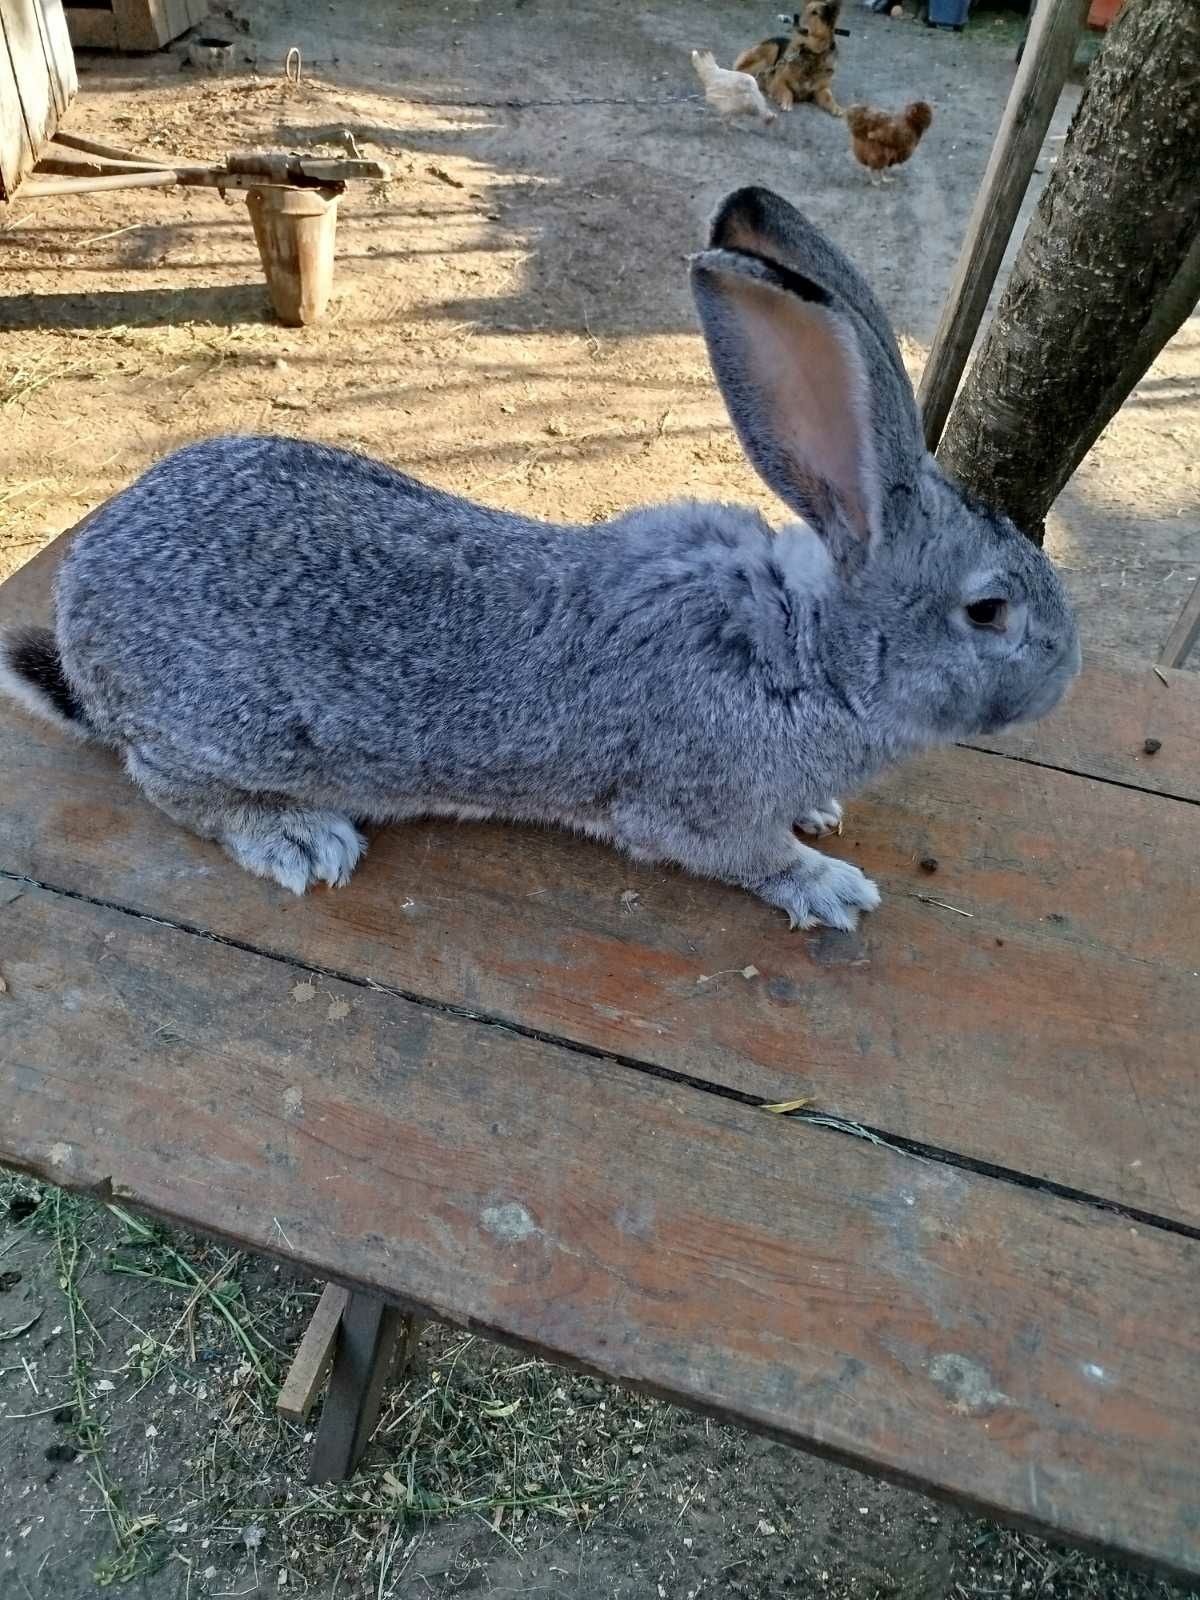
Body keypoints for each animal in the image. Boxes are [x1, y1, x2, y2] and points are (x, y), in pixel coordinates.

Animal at [0, 188, 1088, 934]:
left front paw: (821, 813)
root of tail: (83, 610)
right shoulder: (697, 809)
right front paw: (830, 887)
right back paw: (300, 839)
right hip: (225, 736)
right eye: (988, 612)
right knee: (168, 785)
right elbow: (744, 855)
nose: (1066, 672)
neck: (809, 649)